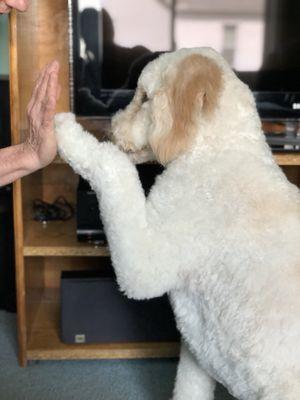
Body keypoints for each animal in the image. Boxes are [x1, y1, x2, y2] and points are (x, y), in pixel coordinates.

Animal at [55, 47, 300, 400]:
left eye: (145, 97)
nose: (110, 128)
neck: (215, 150)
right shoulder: (198, 352)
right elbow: (188, 388)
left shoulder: (145, 266)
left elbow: (115, 167)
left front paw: (67, 133)